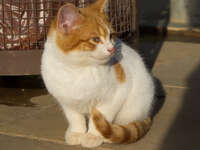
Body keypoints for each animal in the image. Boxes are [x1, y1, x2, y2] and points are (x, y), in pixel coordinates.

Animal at [41, 0, 155, 148]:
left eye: (111, 36)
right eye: (95, 39)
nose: (111, 49)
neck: (77, 70)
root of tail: (147, 113)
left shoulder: (115, 95)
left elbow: (100, 118)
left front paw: (93, 136)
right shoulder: (66, 100)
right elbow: (75, 117)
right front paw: (77, 132)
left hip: (134, 107)